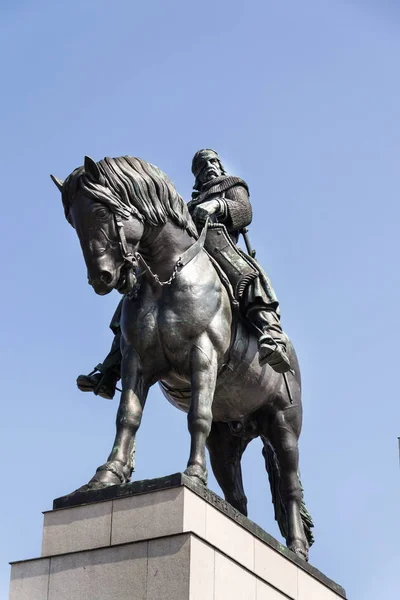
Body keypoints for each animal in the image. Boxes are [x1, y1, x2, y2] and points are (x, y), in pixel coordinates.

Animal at [50, 154, 312, 556]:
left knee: (290, 485)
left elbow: (197, 416)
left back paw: (296, 548)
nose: (103, 278)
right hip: (227, 440)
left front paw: (192, 475)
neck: (166, 275)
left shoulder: (202, 353)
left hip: (283, 424)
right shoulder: (136, 361)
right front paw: (107, 476)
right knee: (238, 496)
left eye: (101, 210)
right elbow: (127, 418)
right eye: (72, 221)